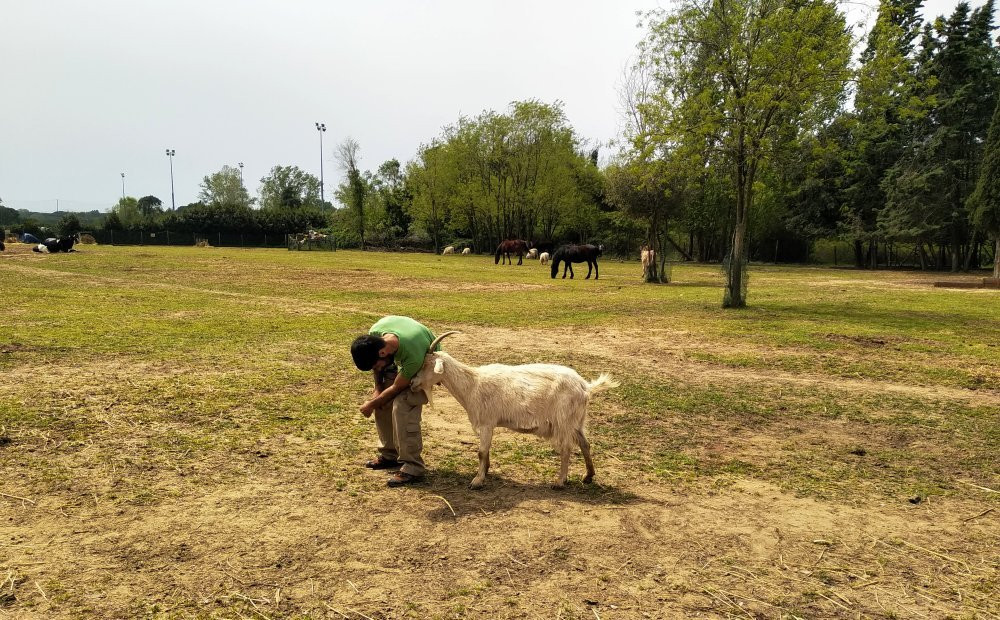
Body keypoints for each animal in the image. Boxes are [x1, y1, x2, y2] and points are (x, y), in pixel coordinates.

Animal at [408, 332, 616, 486]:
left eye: (426, 364)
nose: (411, 383)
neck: (472, 384)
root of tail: (585, 386)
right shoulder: (489, 425)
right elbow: (486, 450)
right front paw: (486, 471)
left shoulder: (486, 422)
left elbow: (481, 451)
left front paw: (477, 480)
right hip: (576, 420)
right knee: (585, 444)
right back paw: (588, 476)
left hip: (563, 419)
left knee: (566, 448)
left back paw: (560, 482)